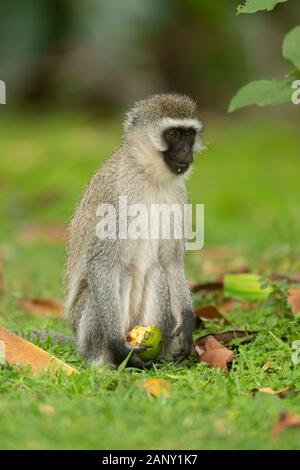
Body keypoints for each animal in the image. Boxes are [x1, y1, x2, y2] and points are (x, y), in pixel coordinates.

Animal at [64, 93, 203, 368]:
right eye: (173, 134)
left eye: (189, 134)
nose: (185, 151)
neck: (149, 176)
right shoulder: (115, 194)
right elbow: (102, 263)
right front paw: (117, 345)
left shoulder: (180, 197)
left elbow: (171, 261)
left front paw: (187, 322)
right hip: (84, 330)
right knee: (121, 272)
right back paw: (105, 361)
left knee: (158, 272)